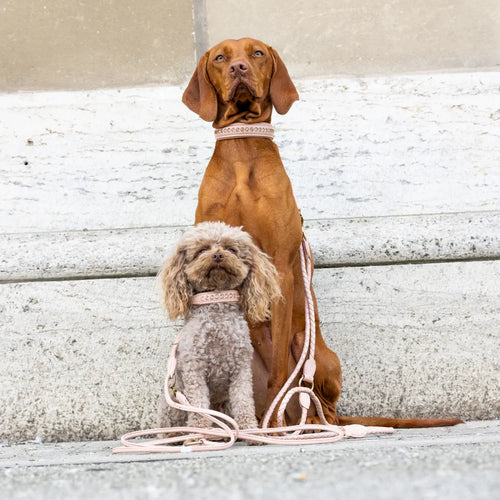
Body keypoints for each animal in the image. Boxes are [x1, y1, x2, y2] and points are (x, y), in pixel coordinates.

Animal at [158, 223, 282, 430]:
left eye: (231, 249)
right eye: (202, 250)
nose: (217, 255)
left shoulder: (240, 369)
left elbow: (244, 401)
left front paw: (250, 430)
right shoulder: (195, 369)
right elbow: (199, 407)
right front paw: (200, 432)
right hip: (173, 405)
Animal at [182, 38, 462, 430]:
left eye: (257, 53)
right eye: (221, 57)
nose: (239, 68)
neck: (242, 151)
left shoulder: (281, 271)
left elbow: (280, 375)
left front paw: (274, 430)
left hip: (316, 353)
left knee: (314, 401)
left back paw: (302, 425)